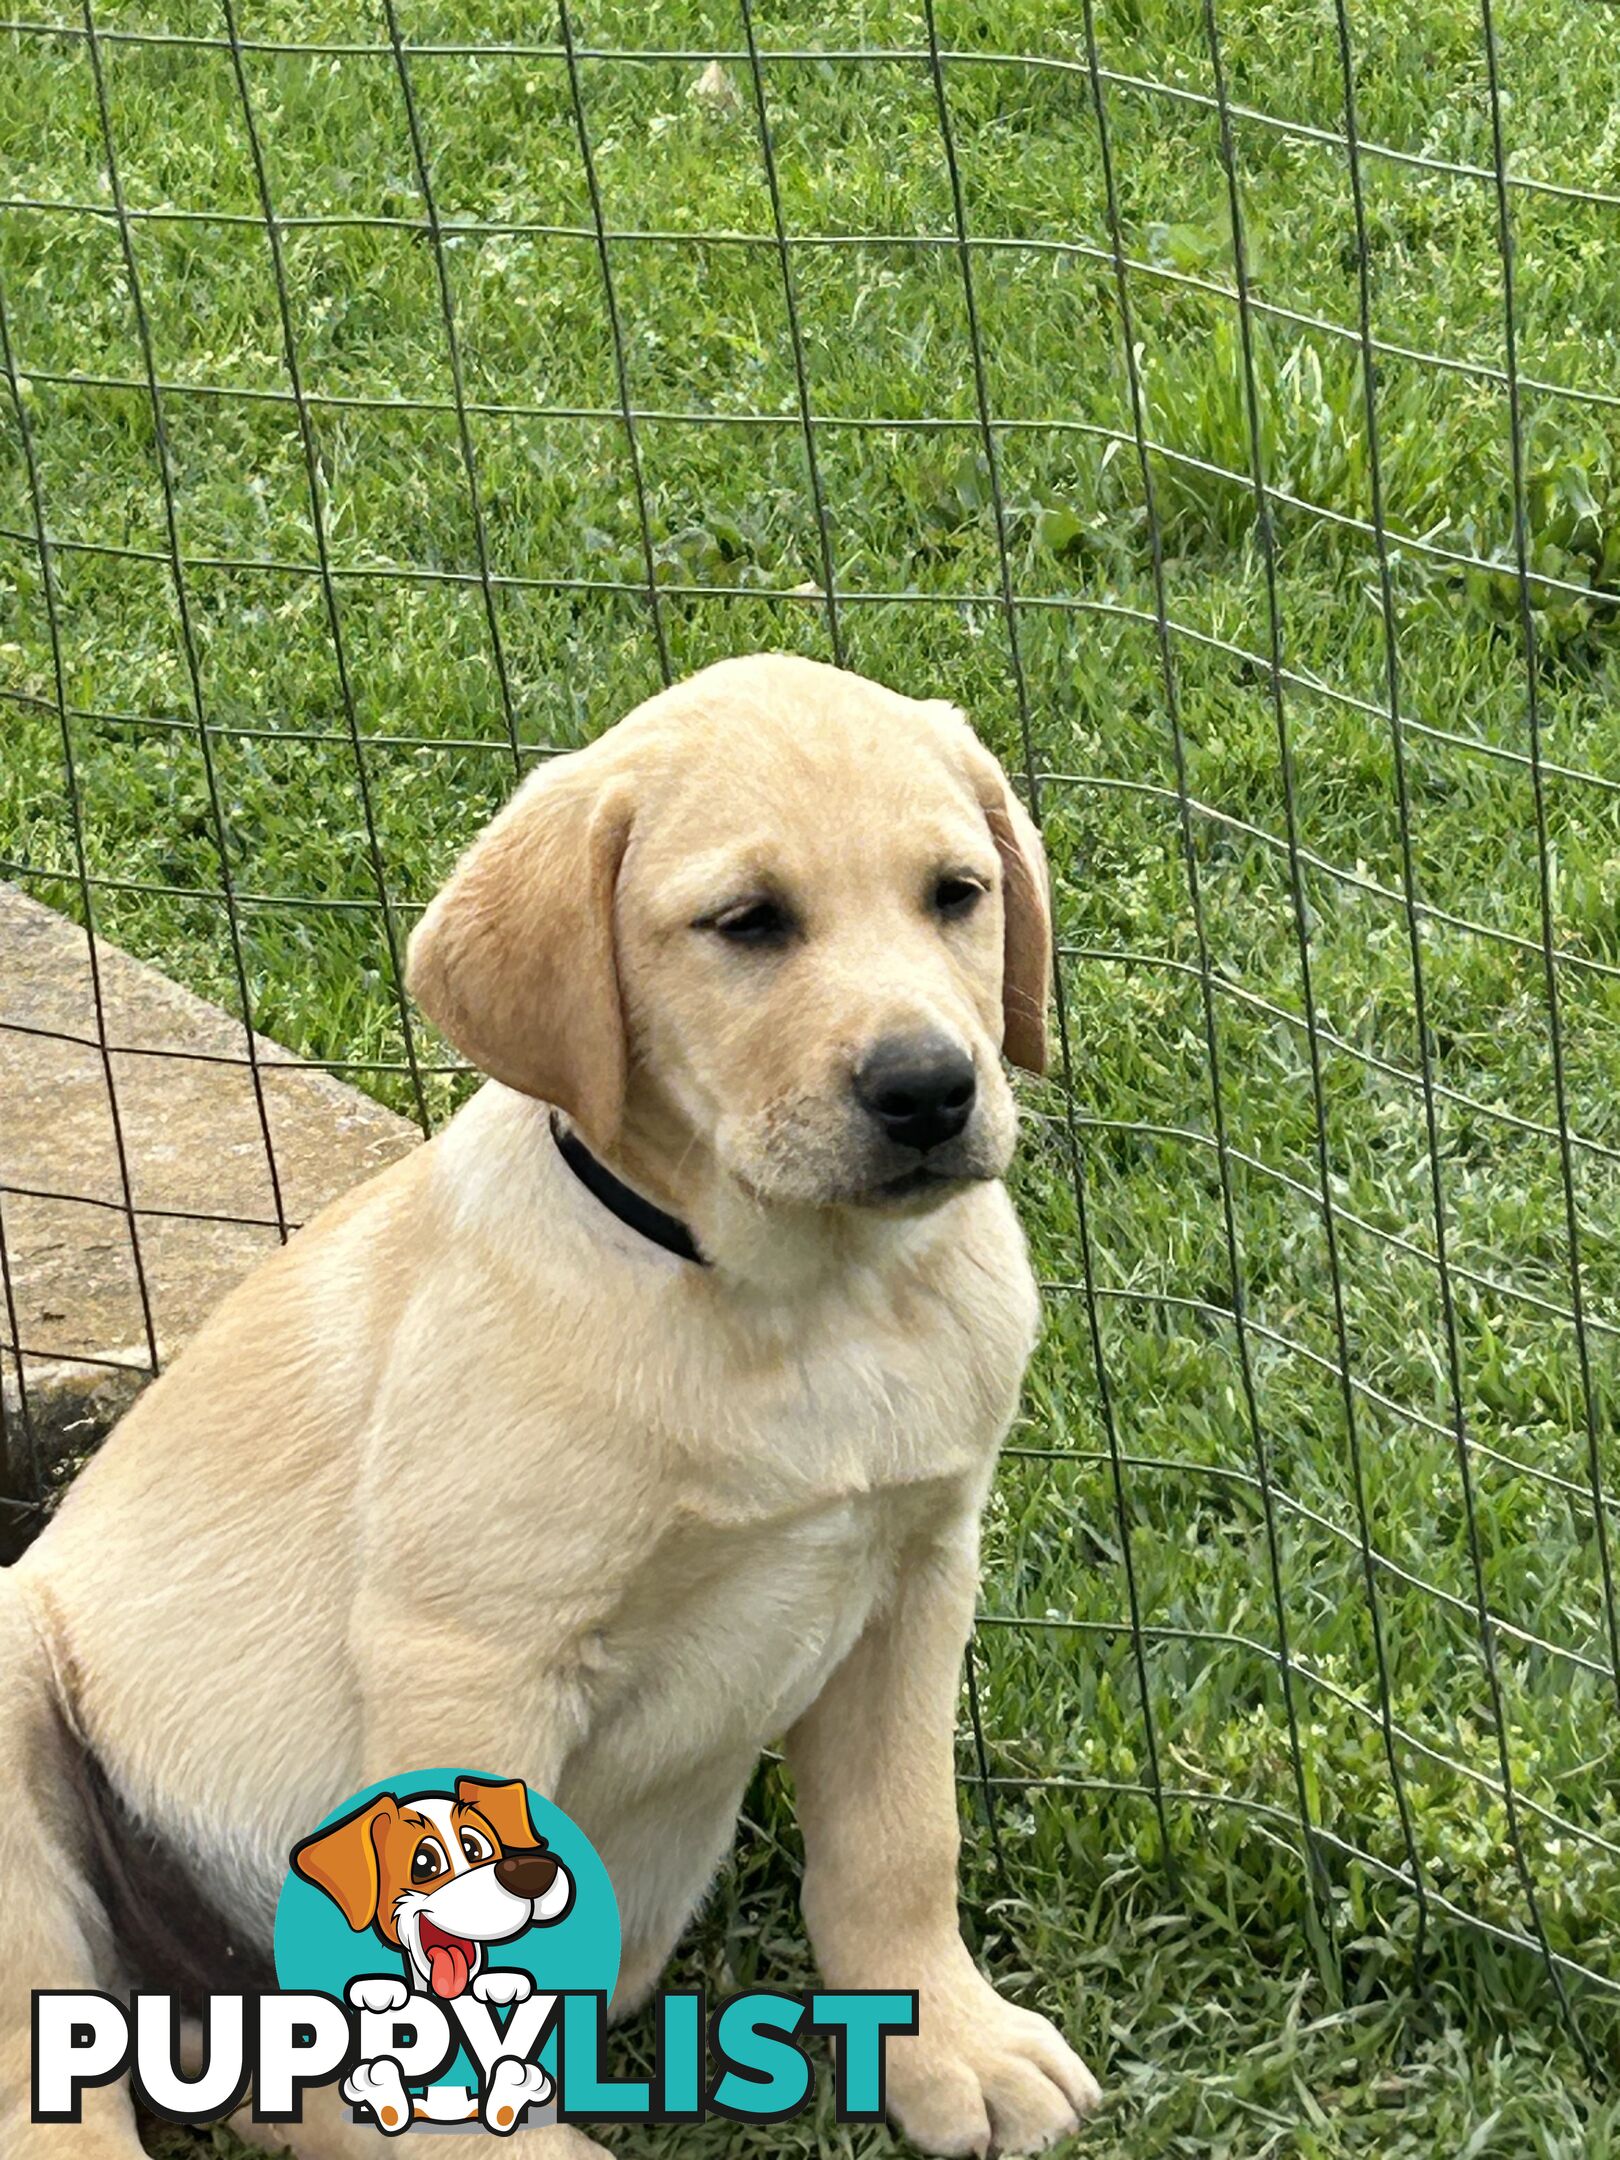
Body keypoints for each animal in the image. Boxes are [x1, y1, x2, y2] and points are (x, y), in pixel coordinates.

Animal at [0, 648, 1105, 2151]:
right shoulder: (472, 1651)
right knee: (44, 2065)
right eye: (747, 924)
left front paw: (949, 2042)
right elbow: (466, 1959)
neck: (799, 1300)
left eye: (957, 894)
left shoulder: (918, 1573)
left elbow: (897, 1841)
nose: (932, 1088)